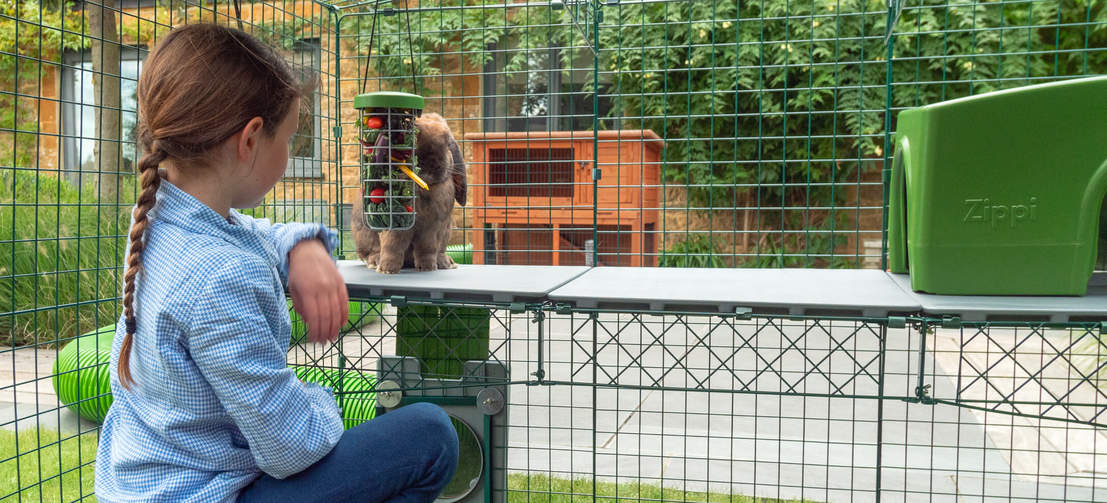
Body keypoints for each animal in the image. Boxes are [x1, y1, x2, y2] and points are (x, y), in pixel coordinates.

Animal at [349, 111, 462, 273]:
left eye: (447, 142)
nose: (431, 165)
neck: (420, 188)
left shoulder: (432, 227)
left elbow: (427, 248)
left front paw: (427, 268)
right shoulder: (395, 226)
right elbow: (392, 245)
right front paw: (387, 270)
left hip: (447, 231)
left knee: (439, 250)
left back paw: (445, 263)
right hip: (363, 234)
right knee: (371, 252)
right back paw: (376, 262)